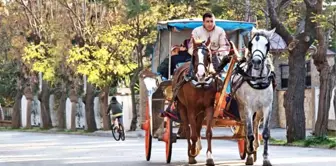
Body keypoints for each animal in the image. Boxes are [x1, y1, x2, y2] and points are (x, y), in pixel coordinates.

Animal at [172, 37, 217, 165]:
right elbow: (192, 135)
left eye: (208, 56)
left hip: (200, 112)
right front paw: (192, 153)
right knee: (188, 129)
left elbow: (208, 132)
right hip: (182, 107)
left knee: (197, 128)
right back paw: (191, 152)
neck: (200, 84)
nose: (201, 74)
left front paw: (209, 156)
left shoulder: (209, 107)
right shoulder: (191, 108)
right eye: (194, 56)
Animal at [232, 26, 276, 165]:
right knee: (246, 127)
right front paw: (250, 155)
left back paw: (255, 146)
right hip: (241, 108)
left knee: (256, 123)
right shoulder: (248, 108)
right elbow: (249, 133)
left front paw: (266, 158)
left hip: (259, 110)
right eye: (251, 44)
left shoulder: (267, 107)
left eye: (266, 44)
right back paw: (249, 150)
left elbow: (266, 133)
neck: (258, 80)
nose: (256, 61)